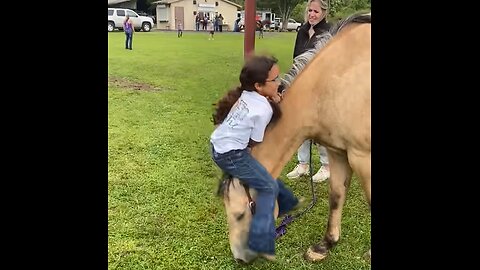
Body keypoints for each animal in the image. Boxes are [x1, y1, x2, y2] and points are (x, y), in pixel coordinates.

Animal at [216, 12, 374, 264]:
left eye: (239, 214)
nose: (239, 258)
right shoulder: (338, 152)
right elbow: (336, 195)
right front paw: (324, 245)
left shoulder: (363, 157)